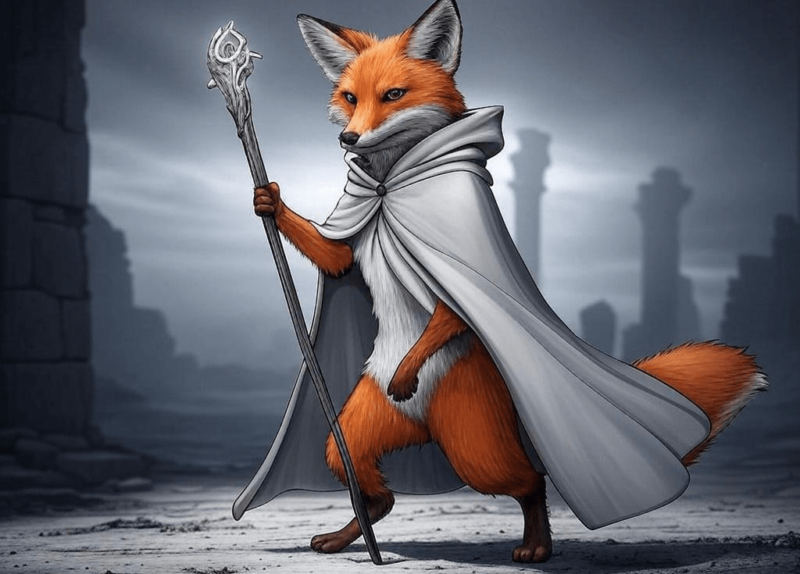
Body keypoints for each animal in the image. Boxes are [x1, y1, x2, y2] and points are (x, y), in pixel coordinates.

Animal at [251, 0, 767, 564]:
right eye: (350, 97)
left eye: (393, 95)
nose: (349, 138)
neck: (390, 186)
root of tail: (425, 423)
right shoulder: (354, 232)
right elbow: (337, 258)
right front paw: (268, 200)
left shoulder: (457, 238)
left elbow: (449, 308)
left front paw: (407, 373)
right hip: (356, 428)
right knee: (370, 485)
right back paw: (351, 536)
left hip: (476, 450)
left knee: (529, 482)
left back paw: (536, 545)